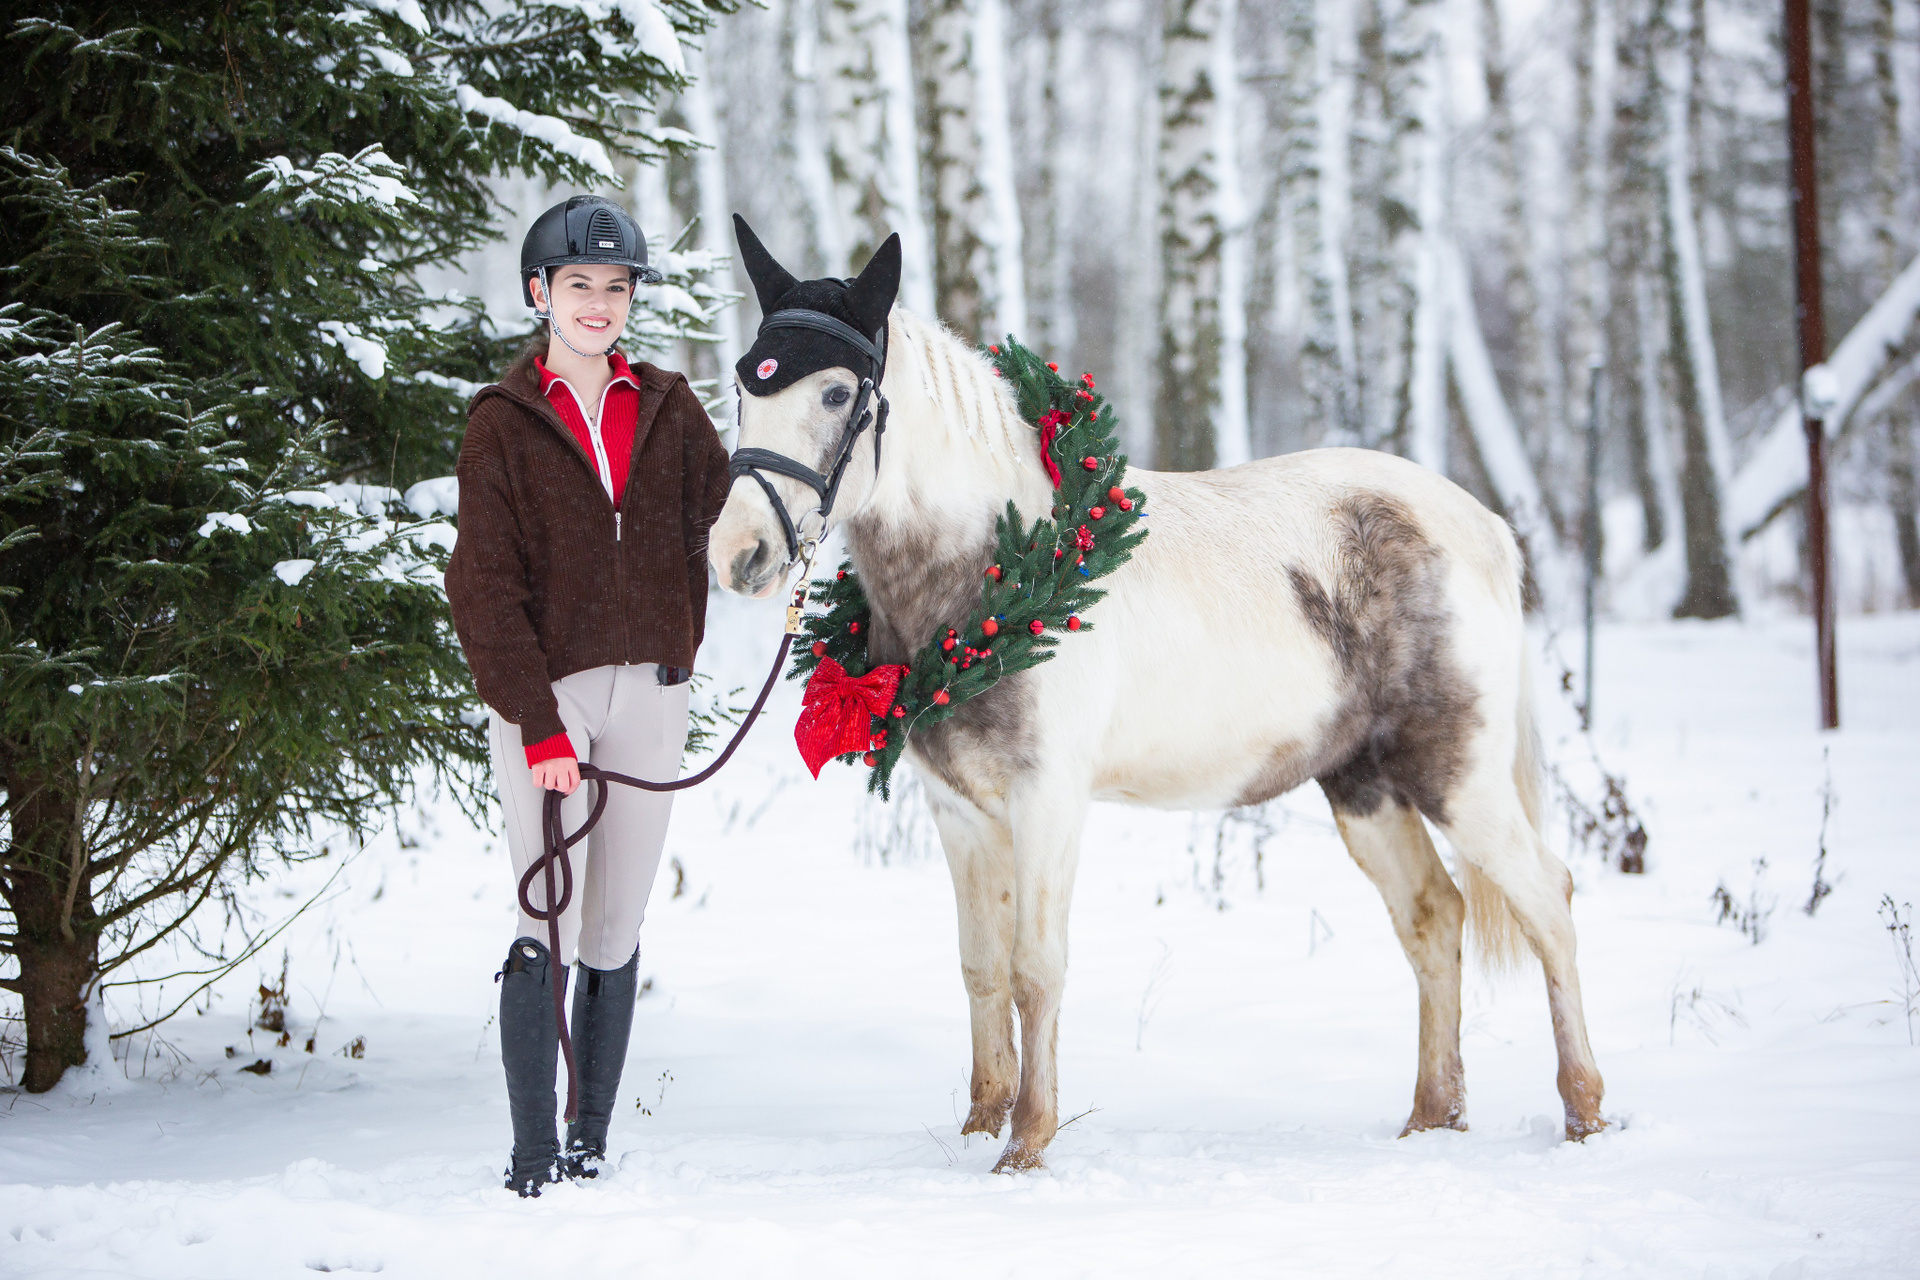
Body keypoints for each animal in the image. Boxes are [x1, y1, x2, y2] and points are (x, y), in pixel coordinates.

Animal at [707, 227, 1606, 1173]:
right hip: (1366, 786)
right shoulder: (961, 811)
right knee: (1433, 918)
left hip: (1458, 778)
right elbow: (981, 967)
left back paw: (1584, 1114)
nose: (739, 553)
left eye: (837, 392)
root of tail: (1482, 526)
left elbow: (1036, 967)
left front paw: (1027, 1143)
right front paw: (980, 1125)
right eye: (743, 381)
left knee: (1548, 900)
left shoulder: (1047, 801)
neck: (993, 569)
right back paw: (1433, 1116)